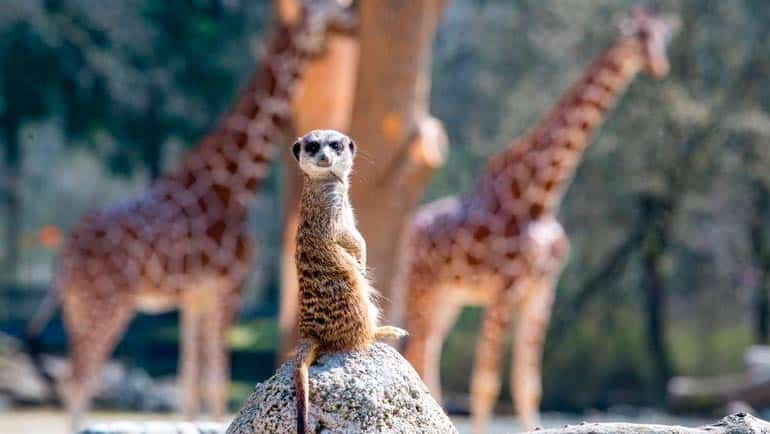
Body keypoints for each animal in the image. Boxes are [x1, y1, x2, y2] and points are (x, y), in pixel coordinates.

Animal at [27, 0, 354, 428]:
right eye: (329, 6)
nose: (353, 14)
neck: (233, 183)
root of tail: (65, 256)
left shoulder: (194, 295)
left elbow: (188, 386)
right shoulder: (227, 284)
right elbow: (215, 382)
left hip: (76, 305)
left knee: (74, 379)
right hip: (106, 301)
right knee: (82, 378)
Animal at [400, 8, 676, 432]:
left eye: (662, 36)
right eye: (638, 37)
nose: (659, 66)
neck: (541, 197)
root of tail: (412, 227)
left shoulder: (543, 289)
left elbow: (528, 384)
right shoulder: (506, 287)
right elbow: (485, 383)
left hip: (450, 296)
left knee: (427, 351)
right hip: (422, 286)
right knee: (419, 350)